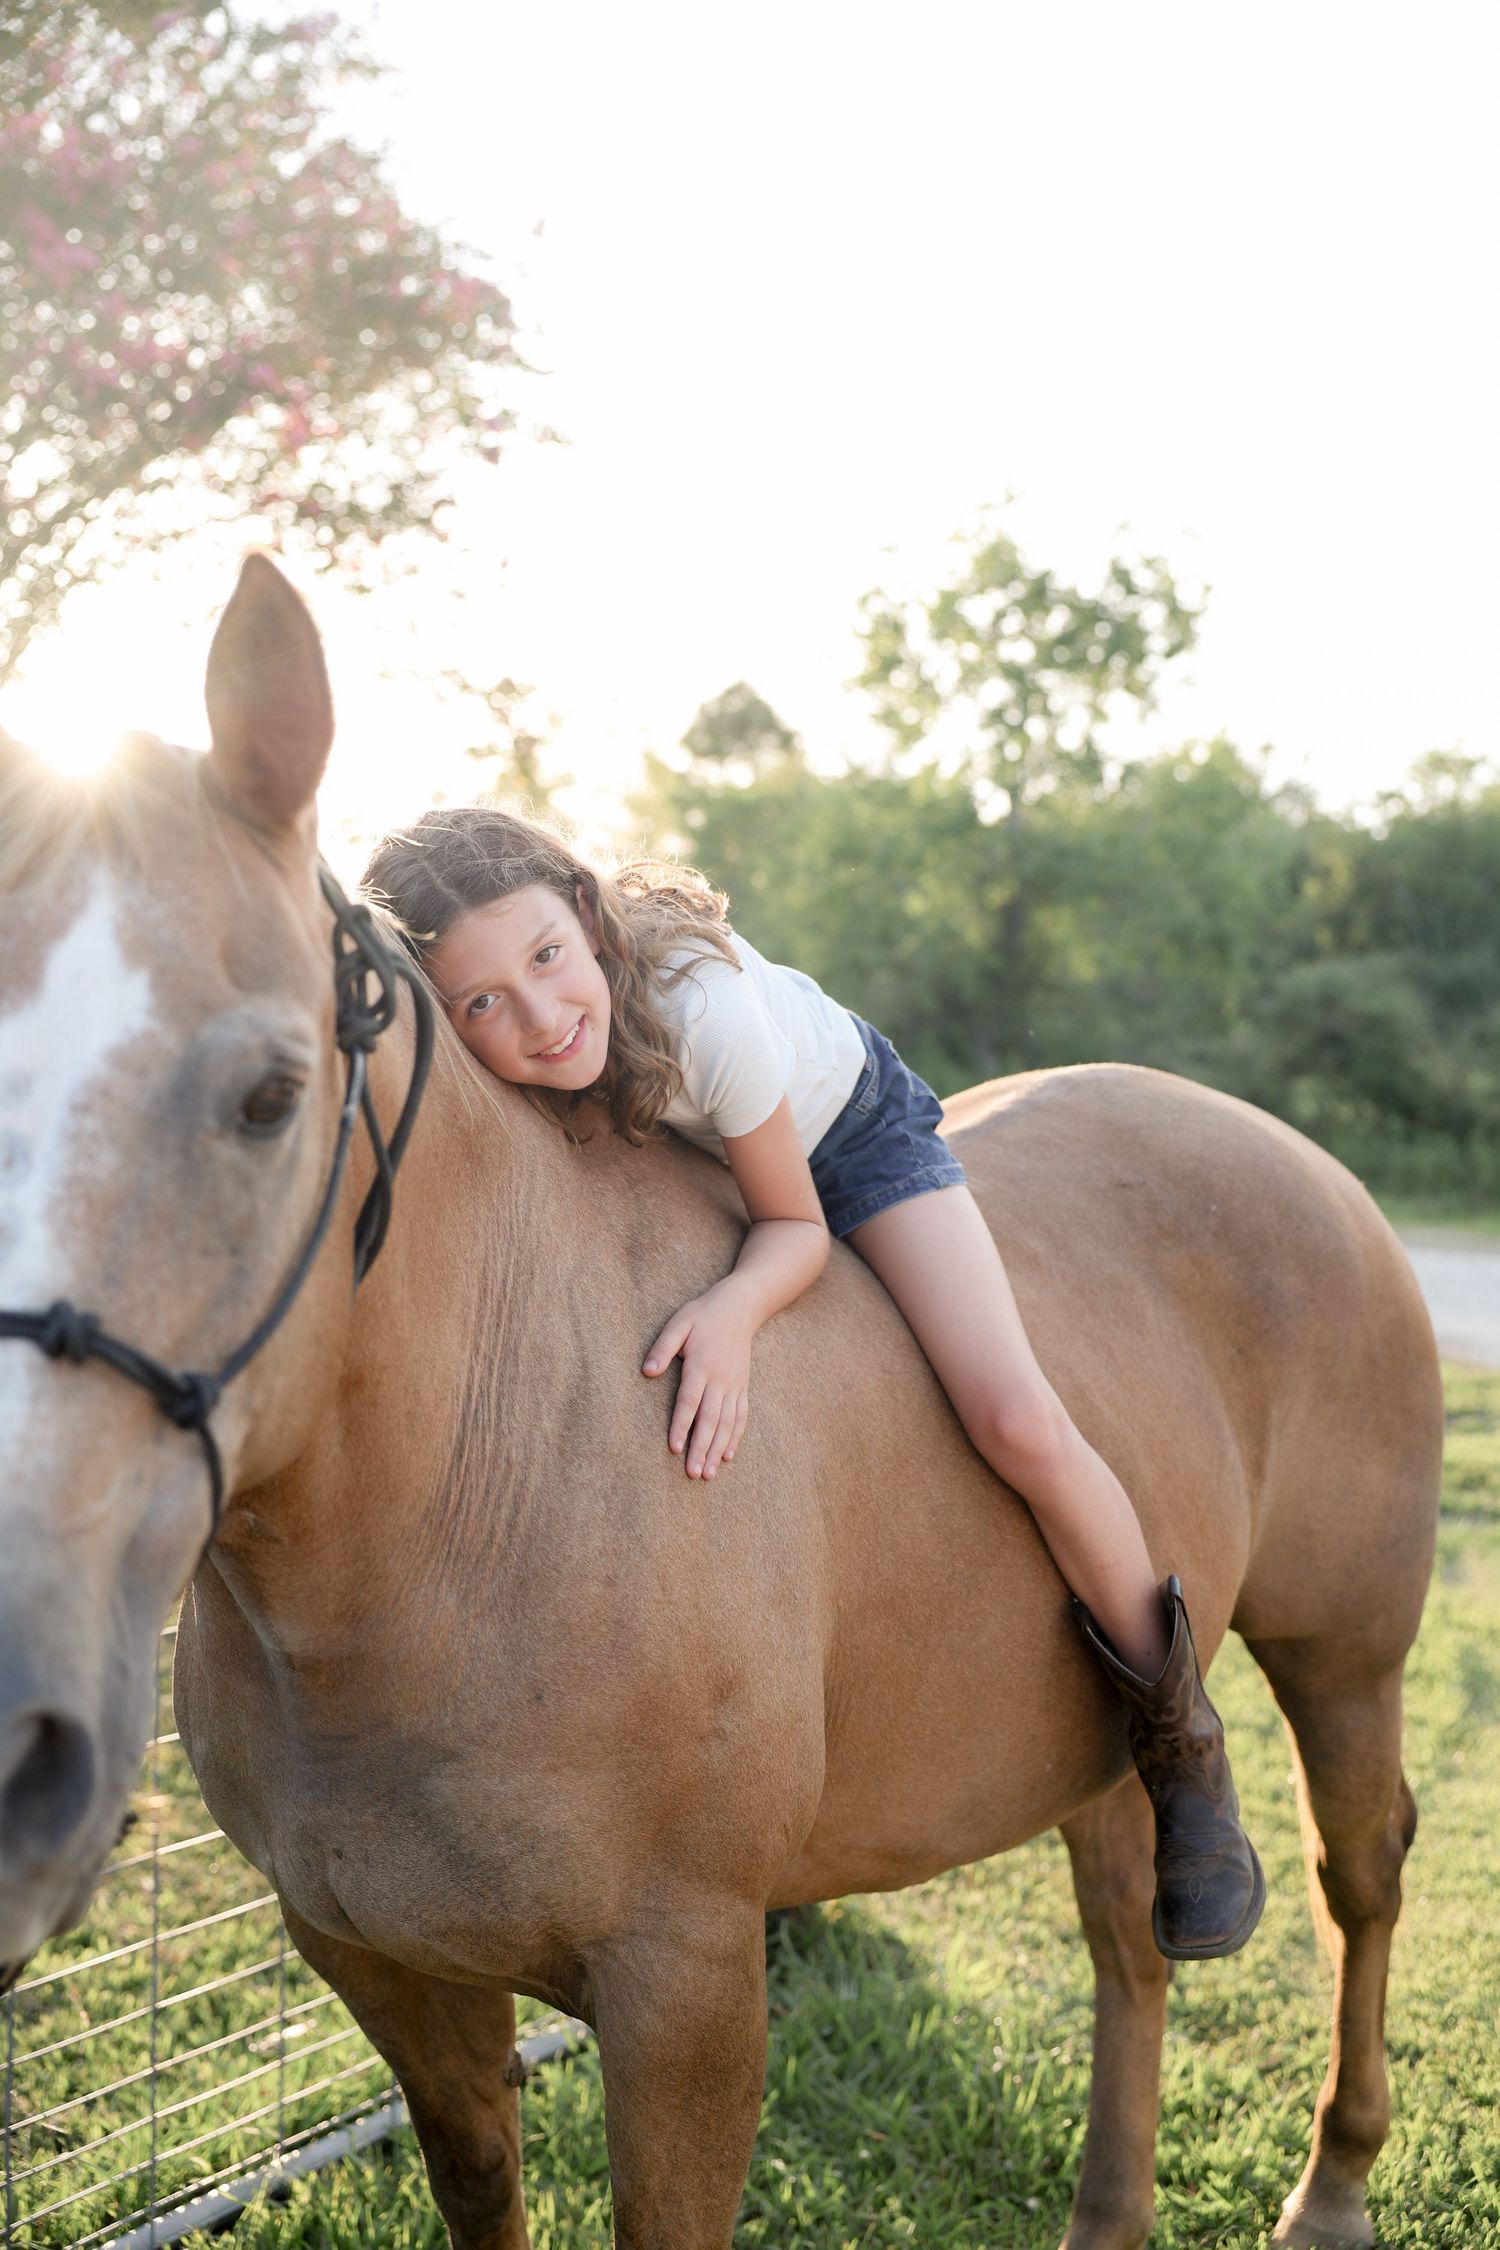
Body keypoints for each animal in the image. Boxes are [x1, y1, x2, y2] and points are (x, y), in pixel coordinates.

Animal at [0, 555, 1441, 2250]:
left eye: (270, 1094)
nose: (21, 1736)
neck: (473, 1488)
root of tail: (1301, 1158)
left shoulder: (687, 1989)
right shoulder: (392, 1975)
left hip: (1342, 1642)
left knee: (1361, 1871)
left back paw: (1333, 2179)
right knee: (1126, 1934)